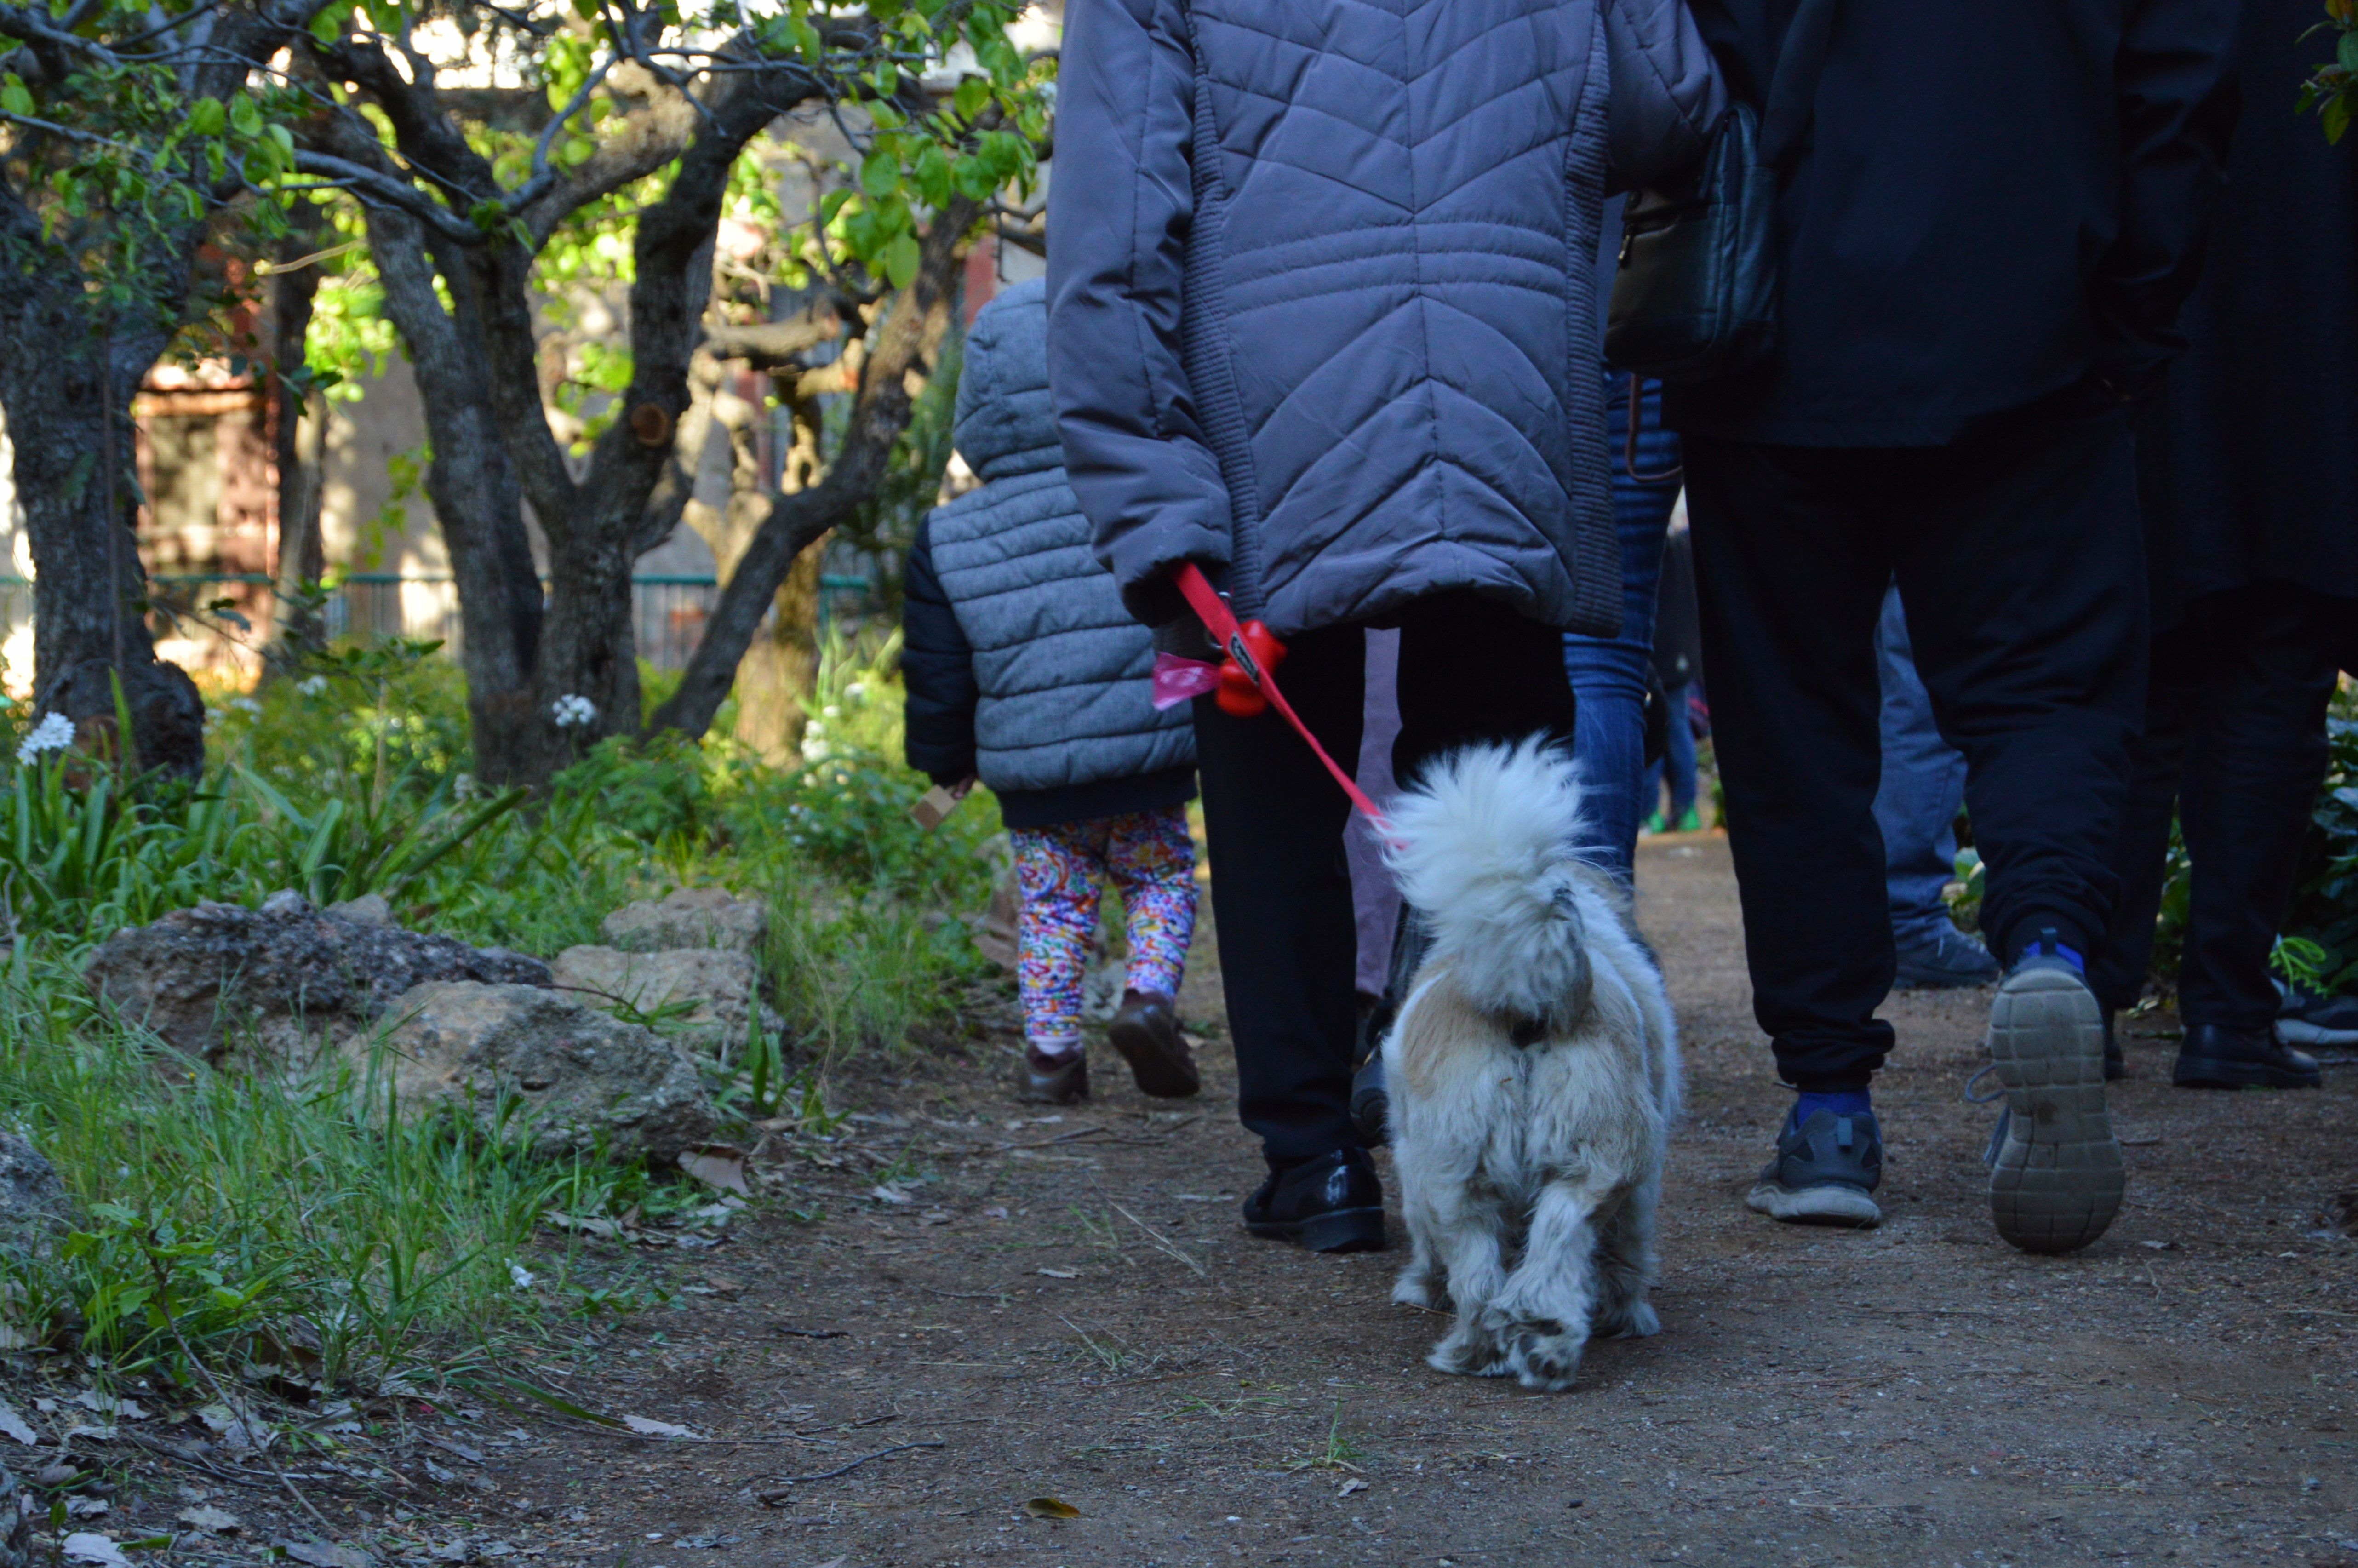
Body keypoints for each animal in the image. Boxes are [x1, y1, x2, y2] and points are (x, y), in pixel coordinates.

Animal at [1377, 740, 1679, 1386]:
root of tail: (1530, 1004)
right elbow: (1626, 1248)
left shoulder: (1413, 1163)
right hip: (1586, 1162)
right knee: (1556, 1242)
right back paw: (1542, 1340)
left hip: (1456, 1179)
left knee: (1482, 1271)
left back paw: (1479, 1350)